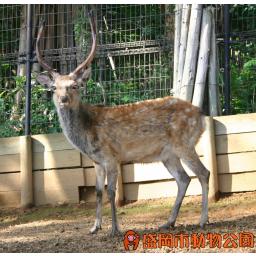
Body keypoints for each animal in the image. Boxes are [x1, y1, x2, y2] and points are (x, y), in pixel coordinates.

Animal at [35, 11, 210, 236]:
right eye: (54, 87)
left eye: (74, 85)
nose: (63, 99)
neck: (87, 132)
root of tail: (201, 115)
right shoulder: (97, 161)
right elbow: (98, 192)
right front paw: (94, 227)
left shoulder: (111, 157)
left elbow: (111, 191)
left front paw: (115, 229)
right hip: (168, 154)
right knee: (184, 179)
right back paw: (168, 222)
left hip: (184, 144)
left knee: (203, 173)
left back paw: (203, 220)